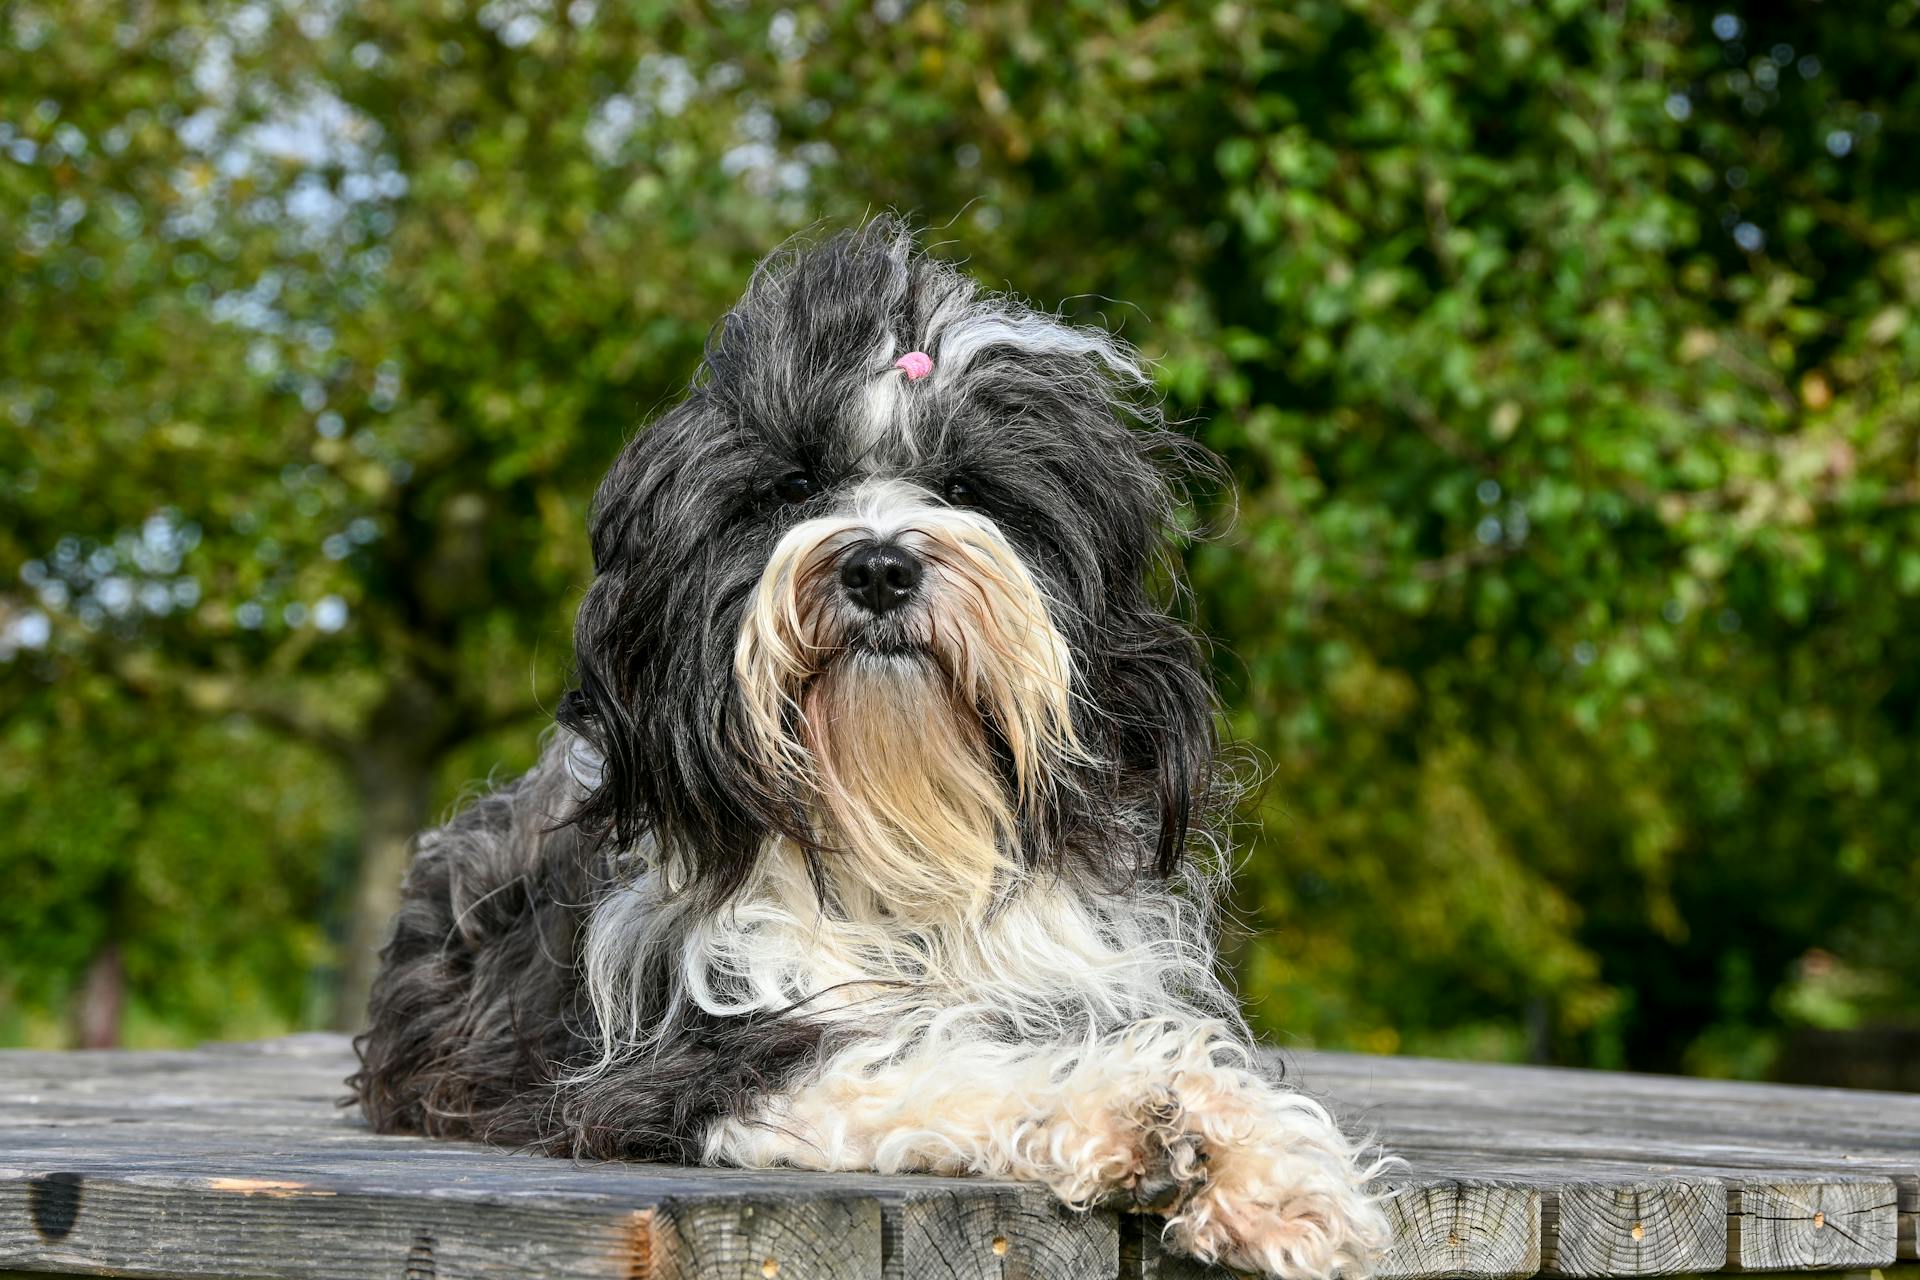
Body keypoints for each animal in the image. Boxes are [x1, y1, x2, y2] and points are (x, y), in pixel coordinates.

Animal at [353, 220, 1390, 1280]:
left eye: (966, 488)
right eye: (794, 485)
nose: (882, 566)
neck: (898, 838)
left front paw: (1263, 1167)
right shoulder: (689, 1059)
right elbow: (926, 1059)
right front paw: (1141, 1113)